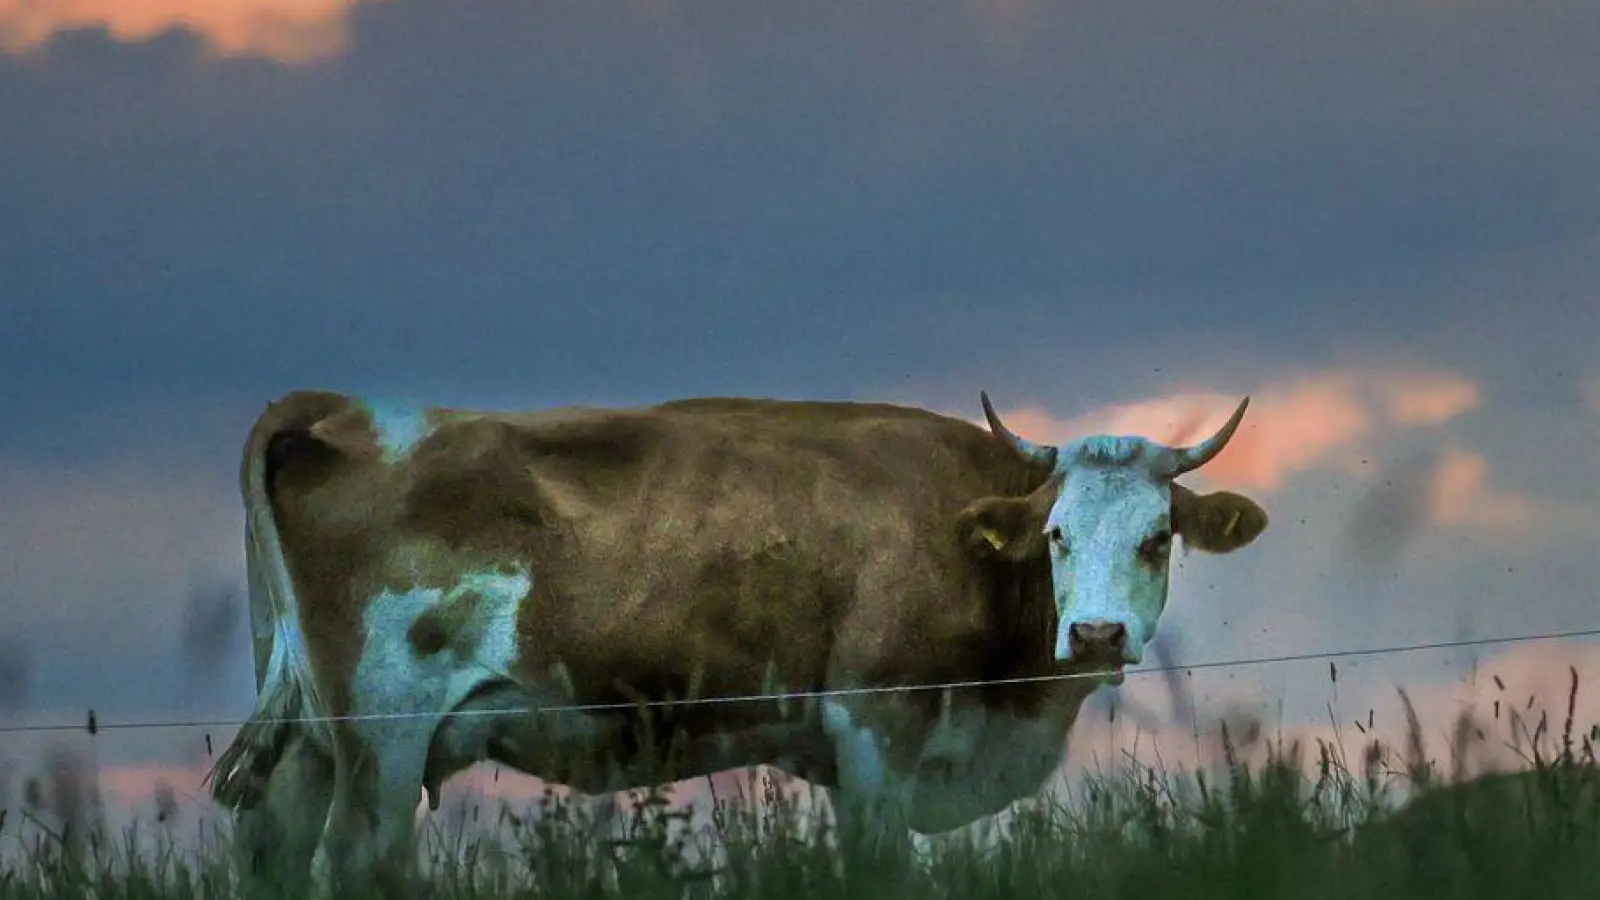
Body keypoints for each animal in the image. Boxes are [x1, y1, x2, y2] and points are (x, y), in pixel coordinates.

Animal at [205, 389, 1268, 895]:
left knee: (273, 847)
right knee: (358, 858)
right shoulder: (875, 723)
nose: (1095, 631)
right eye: (1056, 536)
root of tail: (336, 407)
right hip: (380, 739)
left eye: (1157, 537)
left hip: (308, 741)